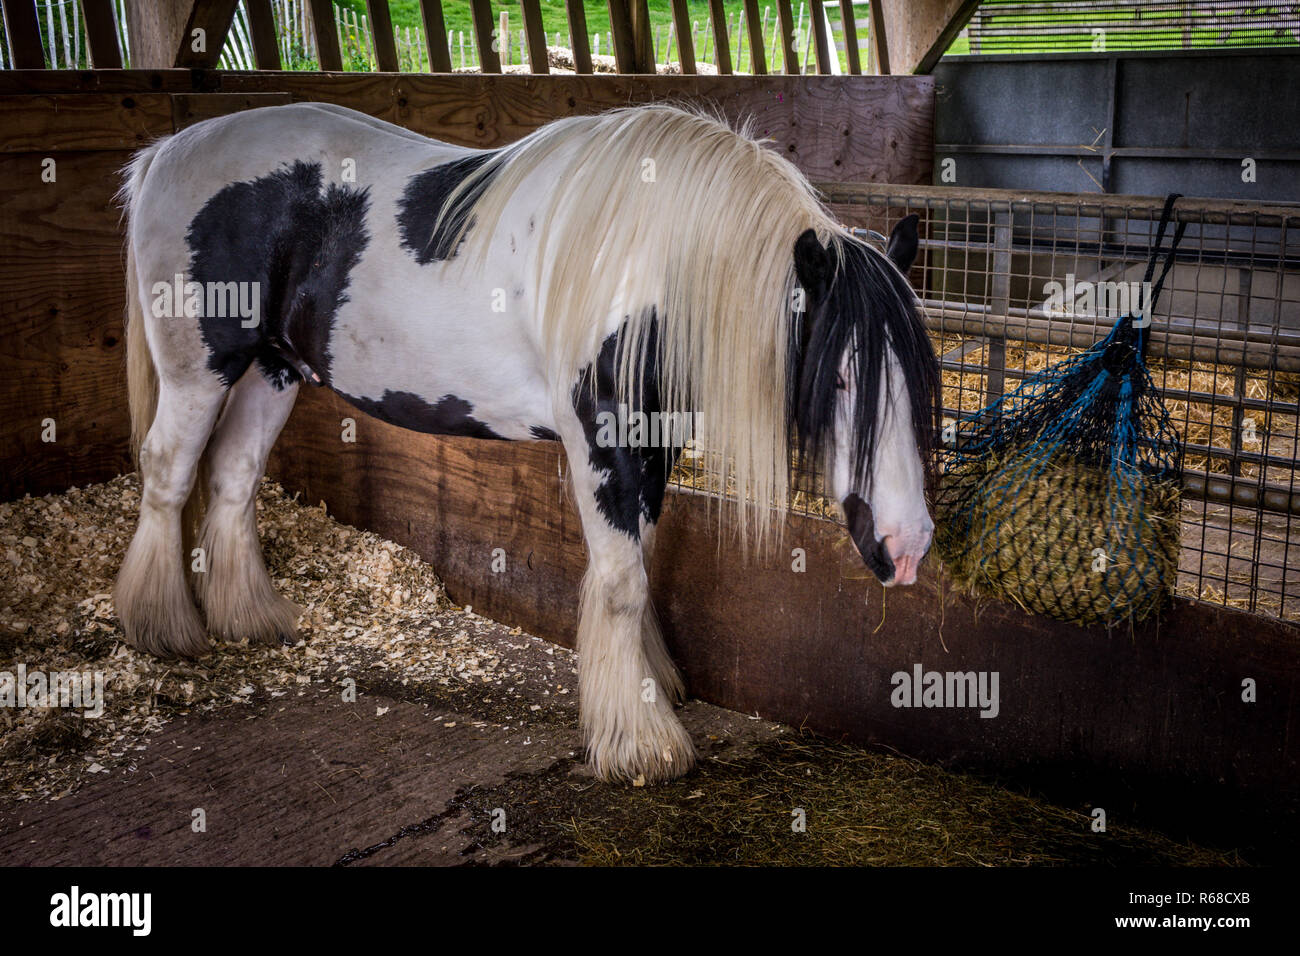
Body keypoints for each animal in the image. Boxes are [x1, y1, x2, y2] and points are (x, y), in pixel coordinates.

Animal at [111, 100, 941, 780]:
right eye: (841, 378)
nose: (907, 549)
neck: (648, 265)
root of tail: (168, 152)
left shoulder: (653, 441)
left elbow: (636, 566)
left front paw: (644, 691)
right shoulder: (603, 441)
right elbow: (621, 580)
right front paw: (639, 743)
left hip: (273, 370)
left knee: (233, 478)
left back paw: (249, 619)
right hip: (200, 372)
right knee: (169, 475)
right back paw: (162, 627)